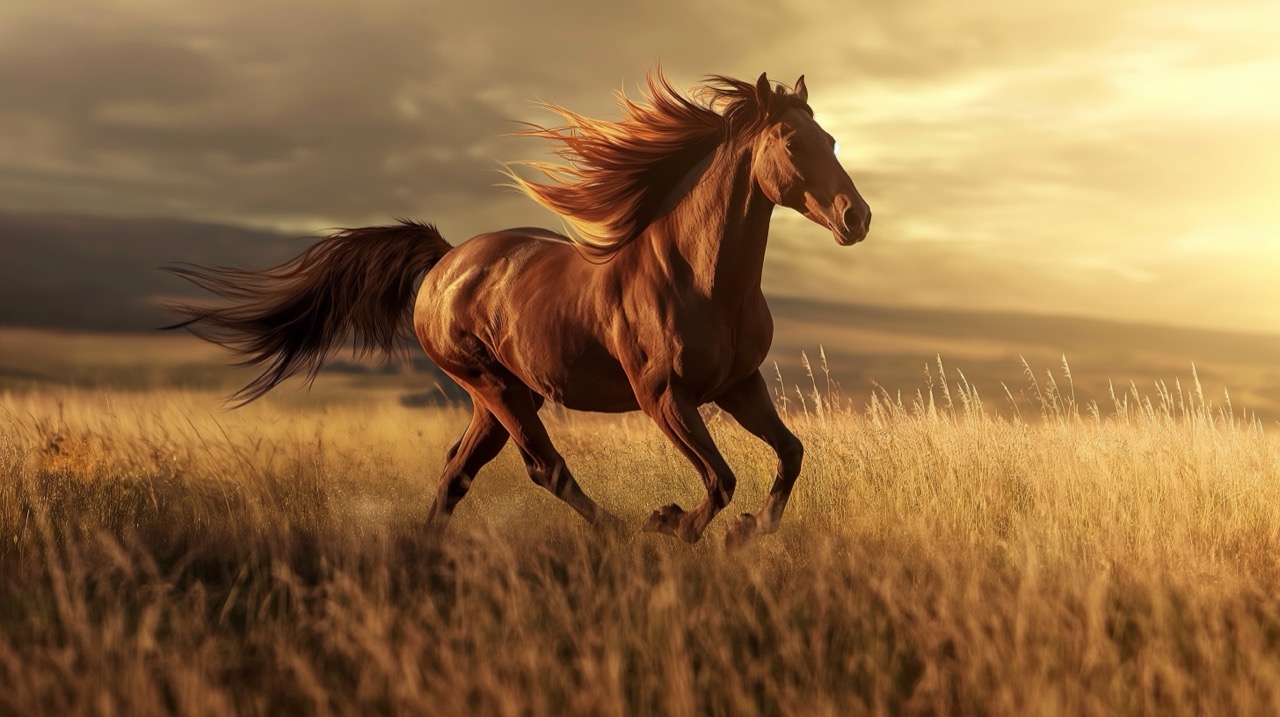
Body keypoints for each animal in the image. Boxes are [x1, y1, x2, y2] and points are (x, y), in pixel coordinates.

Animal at [167, 71, 871, 546]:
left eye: (833, 137)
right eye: (791, 141)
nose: (856, 217)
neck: (700, 279)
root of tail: (445, 261)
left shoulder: (738, 385)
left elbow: (790, 454)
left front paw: (750, 529)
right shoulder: (664, 397)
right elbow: (721, 479)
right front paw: (675, 523)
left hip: (507, 394)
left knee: (458, 469)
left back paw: (431, 548)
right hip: (493, 385)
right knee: (545, 469)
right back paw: (625, 532)